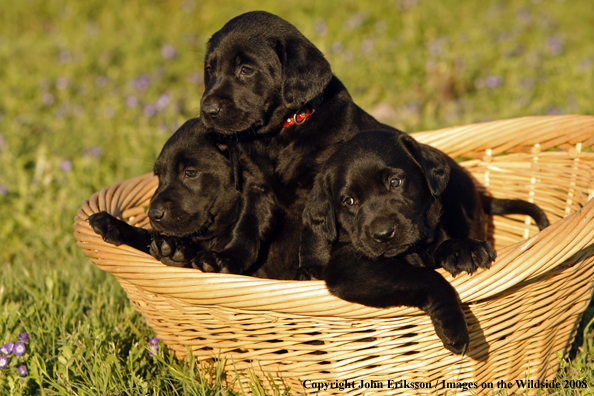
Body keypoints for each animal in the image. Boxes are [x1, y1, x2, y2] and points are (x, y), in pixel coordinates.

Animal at [197, 11, 400, 235]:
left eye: (246, 69)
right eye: (210, 70)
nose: (207, 110)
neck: (279, 135)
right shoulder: (256, 187)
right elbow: (246, 228)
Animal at [300, 130, 544, 352]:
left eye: (395, 182)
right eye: (349, 201)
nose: (383, 234)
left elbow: (441, 245)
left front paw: (465, 249)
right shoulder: (349, 267)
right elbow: (427, 277)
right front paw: (454, 327)